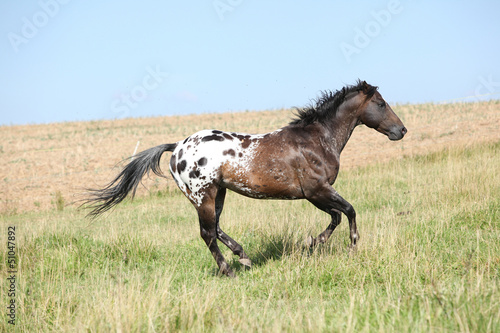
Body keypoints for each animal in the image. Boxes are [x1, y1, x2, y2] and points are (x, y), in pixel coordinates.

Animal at [85, 80, 406, 274]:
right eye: (380, 103)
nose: (401, 130)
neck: (317, 139)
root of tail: (176, 147)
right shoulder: (316, 191)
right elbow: (348, 212)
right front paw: (346, 247)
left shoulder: (318, 194)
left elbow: (337, 216)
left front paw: (313, 244)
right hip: (203, 195)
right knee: (207, 233)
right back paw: (228, 269)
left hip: (219, 192)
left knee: (215, 229)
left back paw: (244, 257)